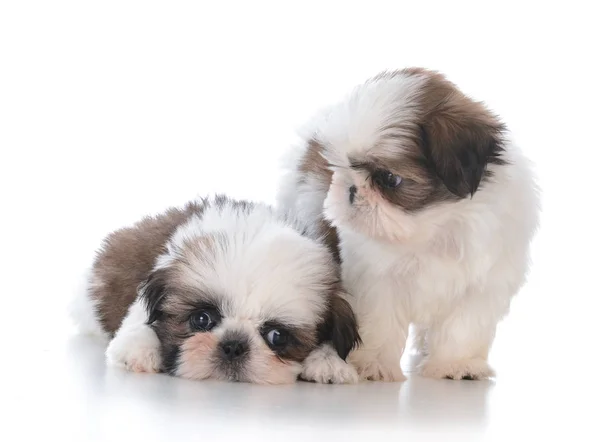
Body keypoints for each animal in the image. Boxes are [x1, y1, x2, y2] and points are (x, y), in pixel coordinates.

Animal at [70, 195, 360, 386]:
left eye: (277, 336)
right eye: (202, 319)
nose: (233, 345)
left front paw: (329, 361)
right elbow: (138, 320)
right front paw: (140, 348)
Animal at [278, 67, 540, 382]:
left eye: (389, 178)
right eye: (336, 169)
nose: (350, 190)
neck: (435, 225)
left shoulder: (483, 282)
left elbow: (462, 327)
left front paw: (456, 364)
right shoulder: (376, 280)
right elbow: (380, 321)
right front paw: (373, 365)